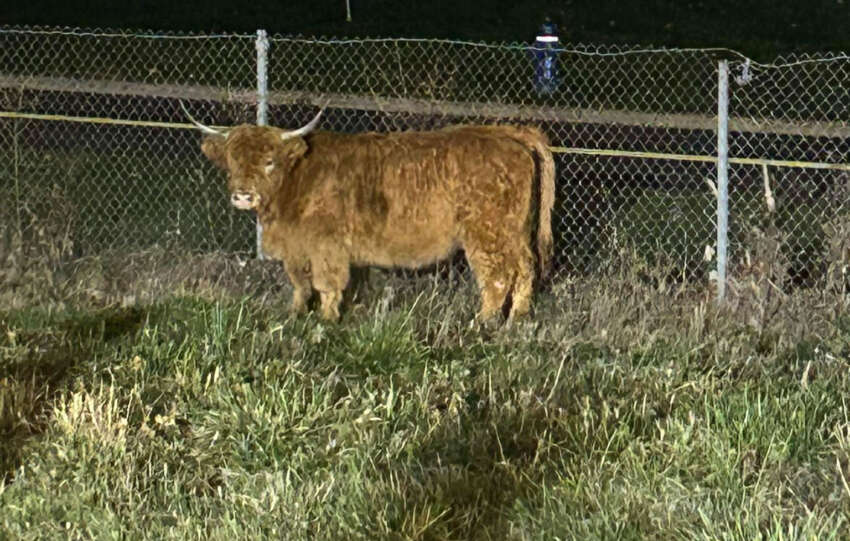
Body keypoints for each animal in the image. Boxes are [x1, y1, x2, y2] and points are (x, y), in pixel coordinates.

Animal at [184, 105, 555, 323]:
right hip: (514, 230)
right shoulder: (297, 247)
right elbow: (300, 284)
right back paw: (517, 318)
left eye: (269, 161)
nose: (243, 195)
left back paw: (483, 322)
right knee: (526, 267)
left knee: (497, 275)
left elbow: (326, 284)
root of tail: (505, 133)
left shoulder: (326, 244)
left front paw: (327, 320)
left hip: (486, 231)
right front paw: (294, 313)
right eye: (233, 161)